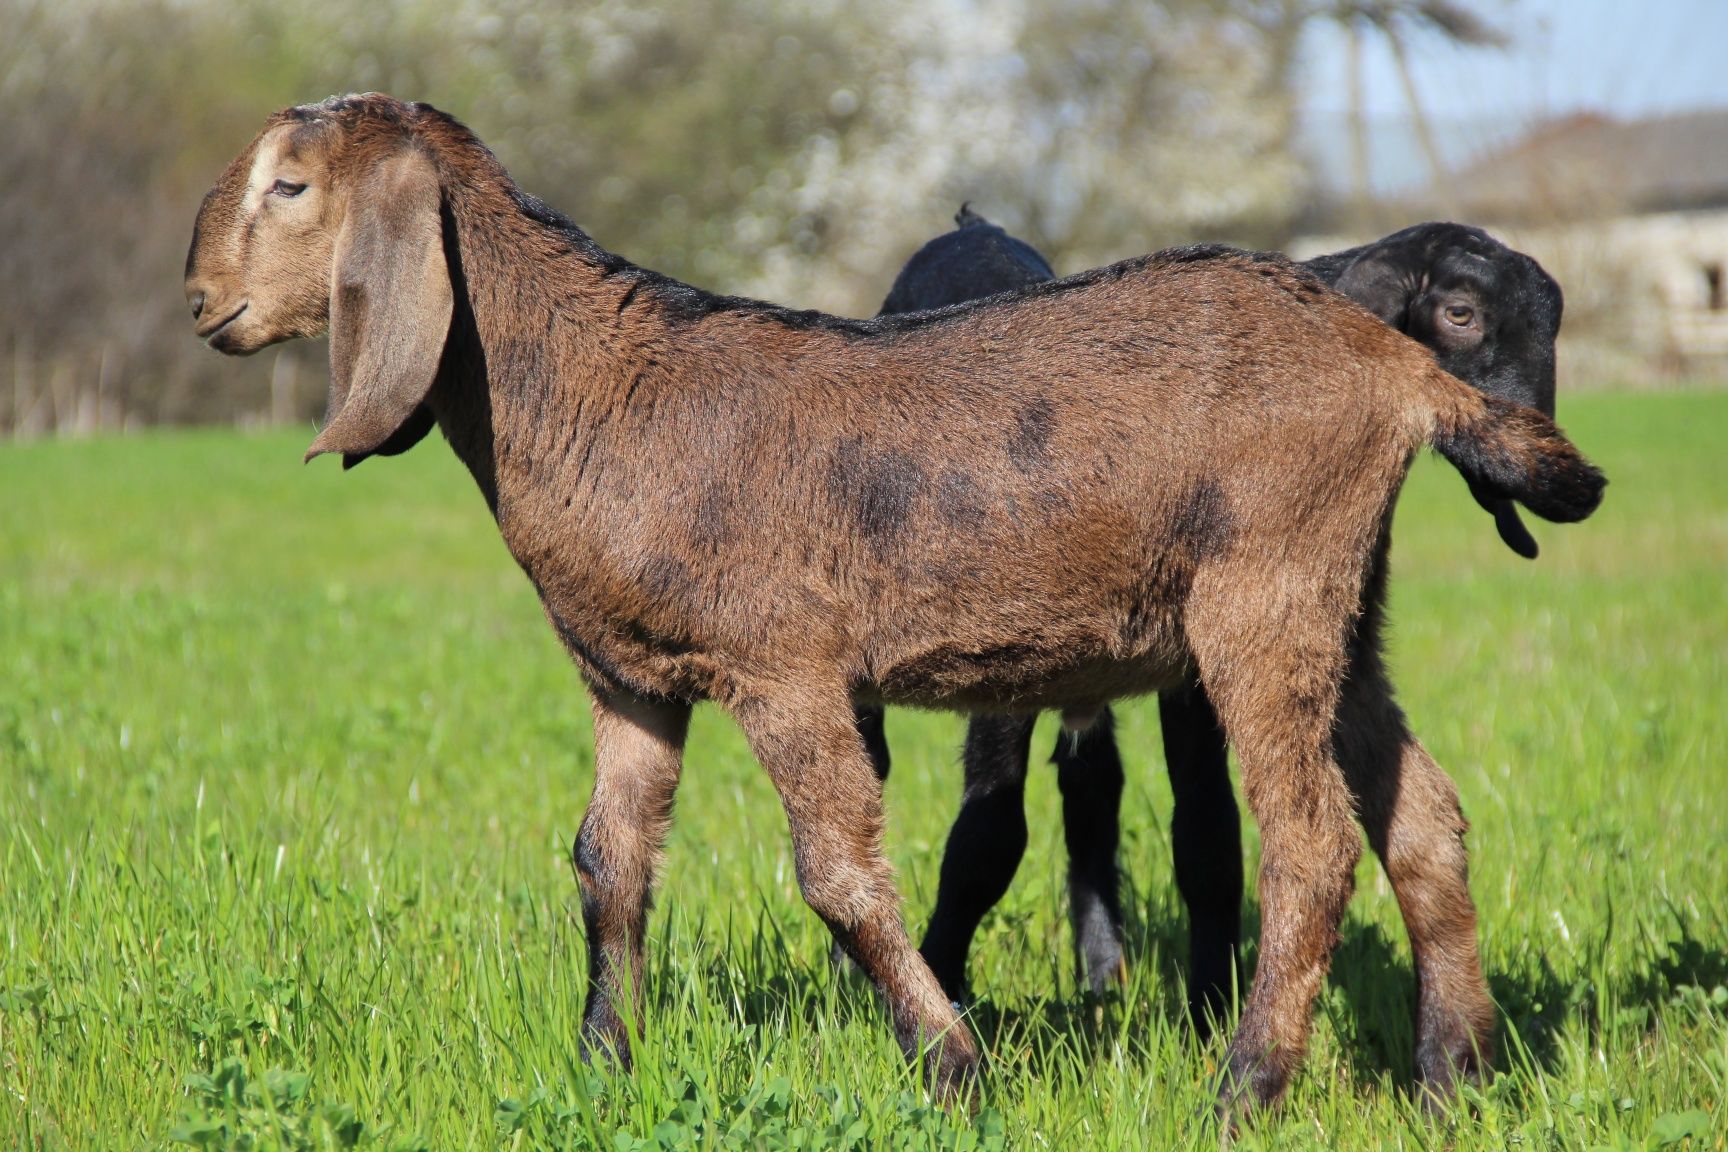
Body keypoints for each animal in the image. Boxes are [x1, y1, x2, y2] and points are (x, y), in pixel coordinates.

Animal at [182, 99, 1596, 1119]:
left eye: (292, 187)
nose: (202, 303)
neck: (600, 387)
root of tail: (1397, 369)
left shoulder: (784, 666)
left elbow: (839, 876)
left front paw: (954, 1067)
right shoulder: (629, 679)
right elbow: (607, 863)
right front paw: (601, 1066)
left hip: (1266, 591)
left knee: (1308, 843)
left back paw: (1242, 1092)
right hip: (1348, 607)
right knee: (1424, 818)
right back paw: (1453, 1079)